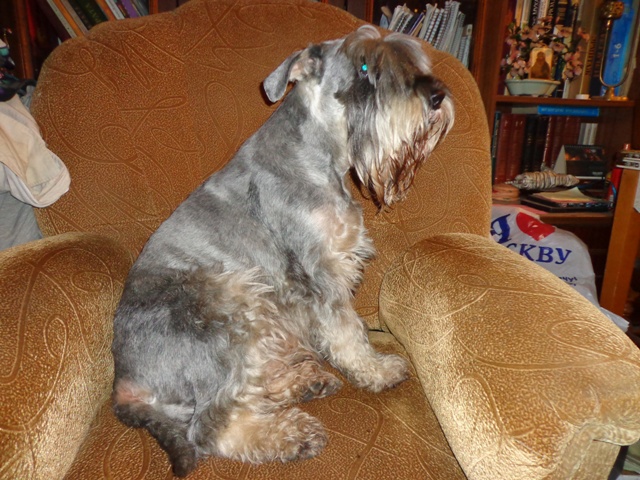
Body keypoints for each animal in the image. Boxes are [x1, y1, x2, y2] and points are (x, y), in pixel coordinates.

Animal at [111, 25, 454, 477]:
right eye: (364, 65)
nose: (437, 97)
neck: (317, 156)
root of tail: (123, 384)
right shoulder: (319, 275)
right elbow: (348, 332)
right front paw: (377, 371)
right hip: (229, 301)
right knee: (211, 424)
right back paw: (292, 435)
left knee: (251, 385)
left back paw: (306, 383)